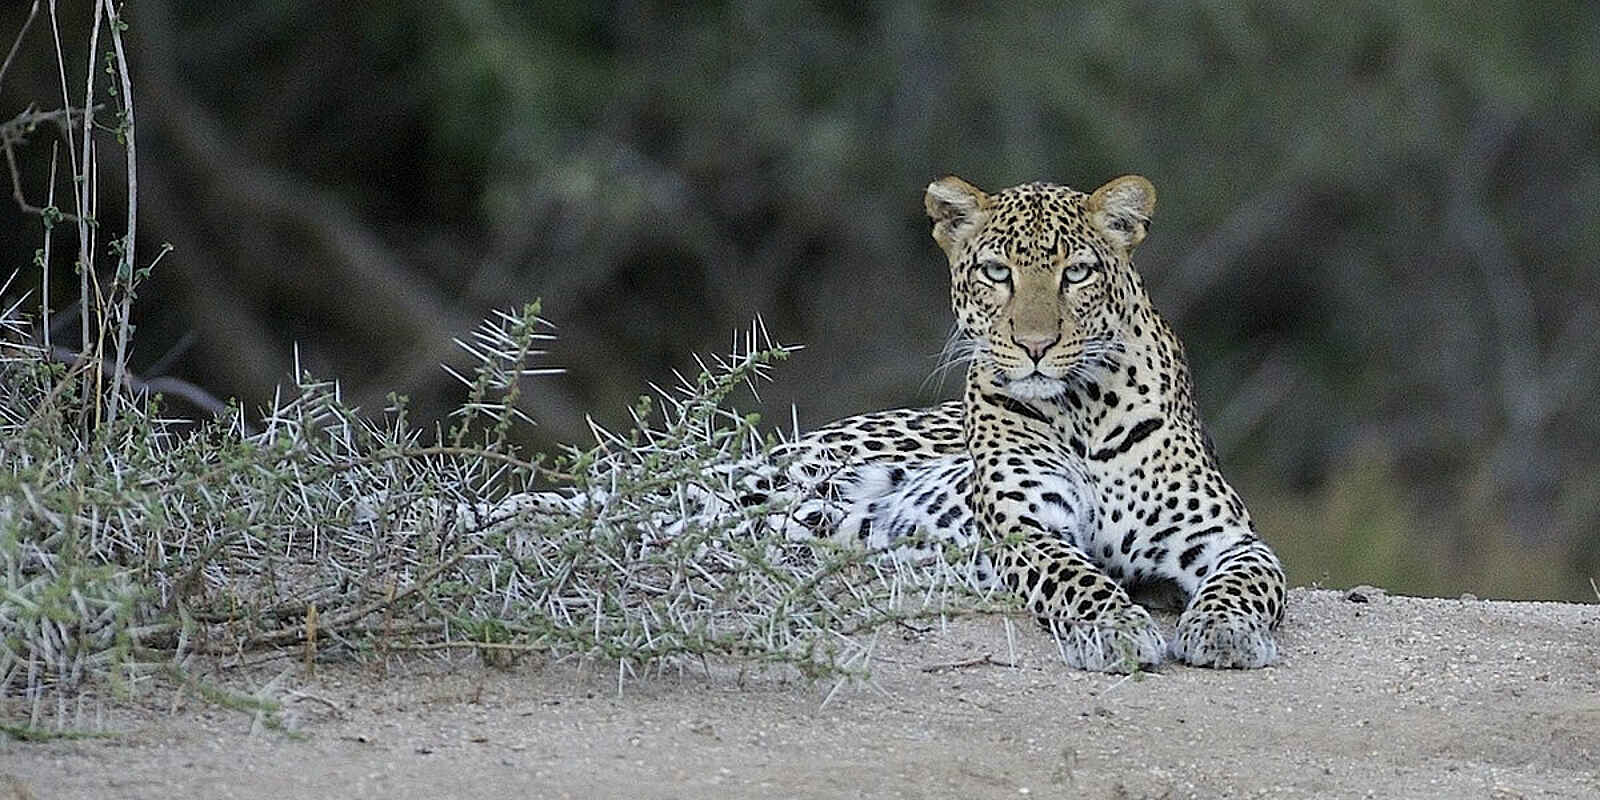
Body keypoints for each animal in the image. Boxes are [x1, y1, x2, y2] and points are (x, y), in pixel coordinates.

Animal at [781, 174, 1287, 672]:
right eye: (996, 272)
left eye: (1077, 273)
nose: (1035, 345)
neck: (1086, 407)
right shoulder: (1028, 528)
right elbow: (1075, 577)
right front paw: (1114, 628)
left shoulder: (1226, 537)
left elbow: (1245, 582)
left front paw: (1225, 628)